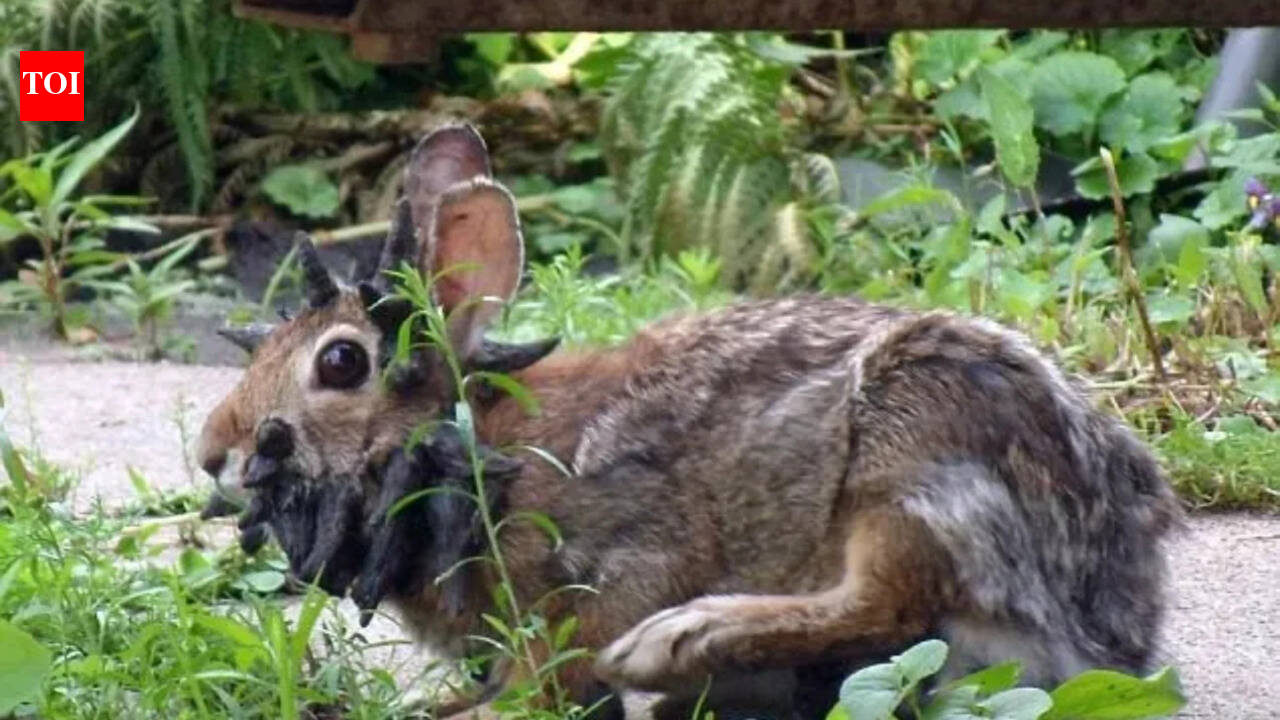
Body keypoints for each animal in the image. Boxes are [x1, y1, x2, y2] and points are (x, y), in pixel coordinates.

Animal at [196, 123, 1182, 719]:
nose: (212, 453)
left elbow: (556, 666)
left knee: (882, 601)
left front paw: (495, 708)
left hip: (909, 457)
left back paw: (678, 647)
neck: (475, 446)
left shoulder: (617, 559)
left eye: (340, 364)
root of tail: (1111, 621)